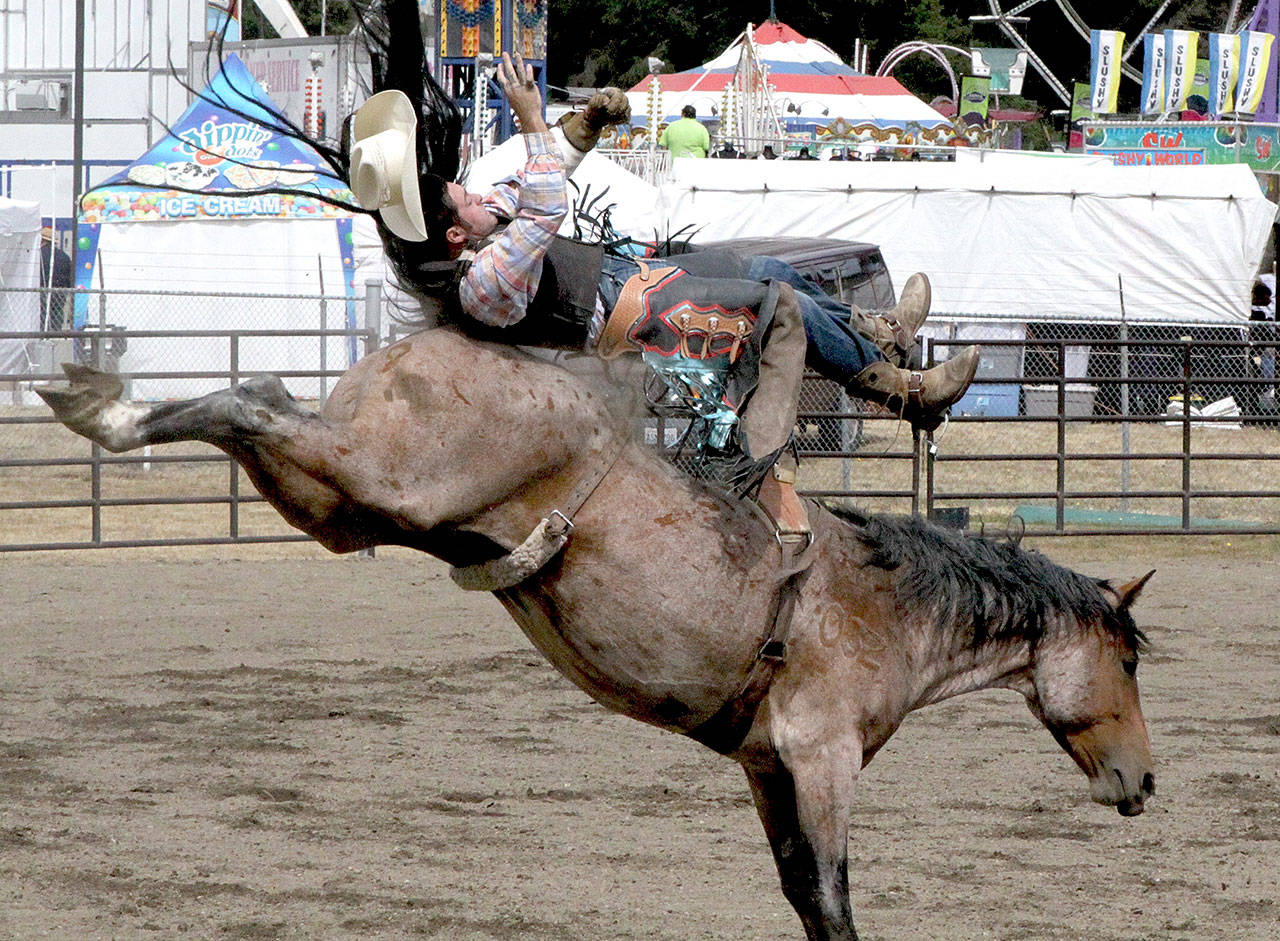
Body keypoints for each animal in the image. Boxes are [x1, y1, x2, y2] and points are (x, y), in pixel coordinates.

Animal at [37, 326, 1155, 941]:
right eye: (1129, 659)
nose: (1142, 778)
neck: (883, 602)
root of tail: (427, 342)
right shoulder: (822, 754)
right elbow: (835, 900)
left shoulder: (766, 765)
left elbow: (801, 891)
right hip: (383, 479)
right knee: (253, 402)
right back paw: (103, 406)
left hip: (342, 503)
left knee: (263, 401)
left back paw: (104, 404)